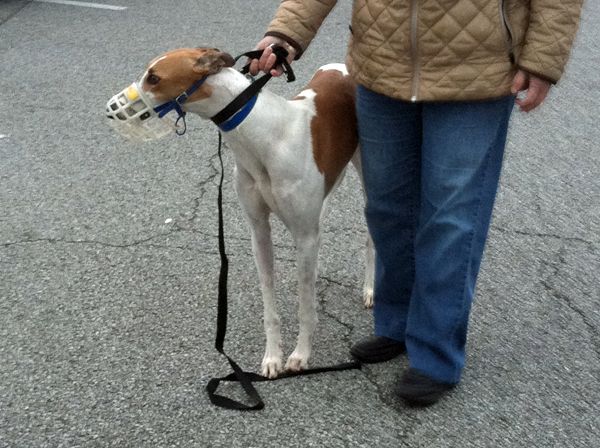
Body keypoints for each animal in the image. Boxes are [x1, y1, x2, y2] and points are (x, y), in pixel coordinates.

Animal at [113, 47, 376, 378]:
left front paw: (300, 355)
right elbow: (270, 306)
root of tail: (343, 67)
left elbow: (305, 307)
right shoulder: (259, 231)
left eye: (155, 78)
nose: (112, 111)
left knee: (372, 238)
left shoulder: (304, 237)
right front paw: (272, 357)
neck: (266, 136)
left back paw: (371, 289)